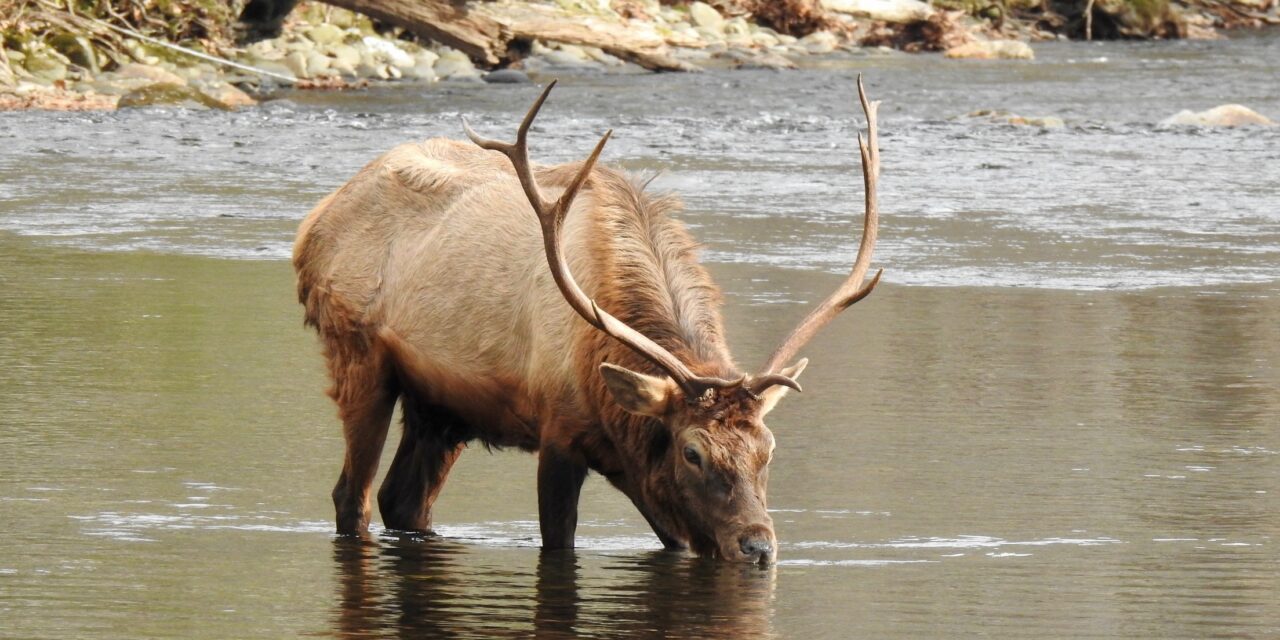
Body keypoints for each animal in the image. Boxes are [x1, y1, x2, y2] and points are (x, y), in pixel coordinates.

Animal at [293, 77, 881, 564]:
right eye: (692, 451)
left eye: (769, 449)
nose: (758, 547)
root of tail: (312, 225)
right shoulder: (558, 433)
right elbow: (559, 544)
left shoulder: (638, 469)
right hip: (357, 356)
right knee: (351, 497)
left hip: (441, 405)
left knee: (404, 500)